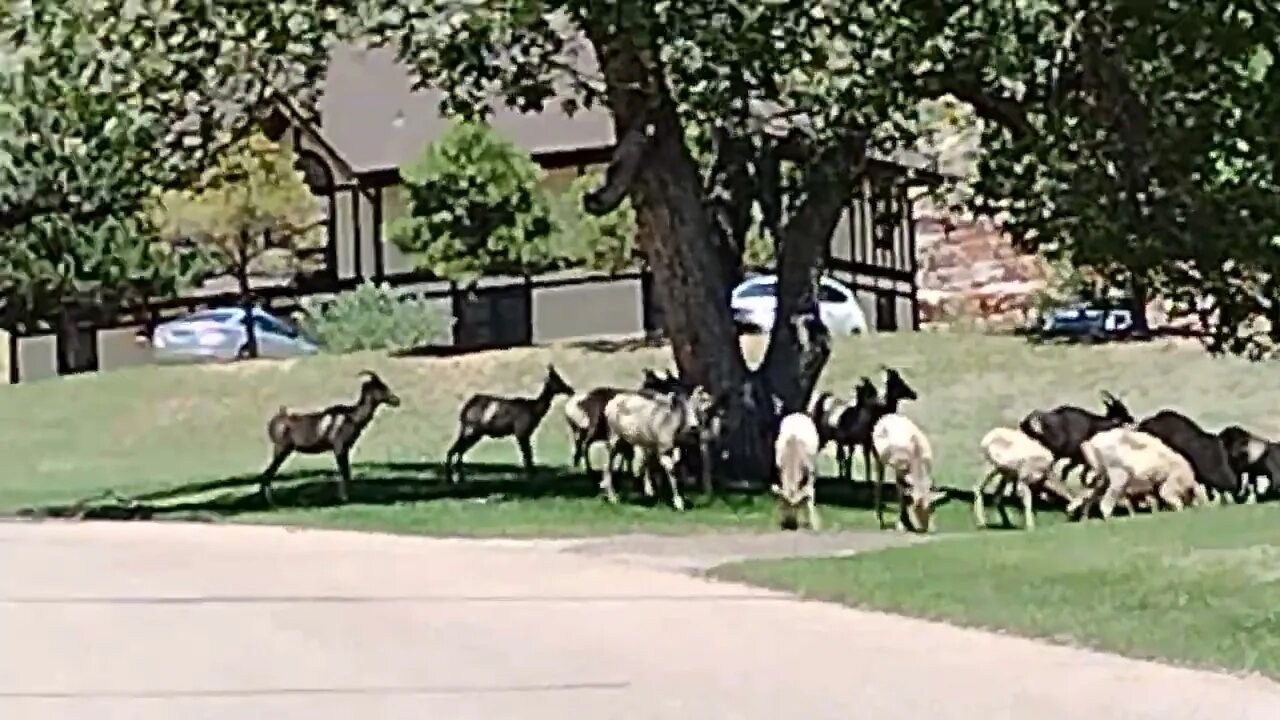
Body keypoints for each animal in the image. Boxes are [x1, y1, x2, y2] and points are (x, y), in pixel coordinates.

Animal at [258, 368, 399, 504]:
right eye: (380, 387)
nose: (396, 400)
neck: (353, 417)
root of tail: (273, 423)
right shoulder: (339, 447)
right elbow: (344, 472)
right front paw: (344, 498)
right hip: (281, 448)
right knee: (267, 474)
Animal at [445, 363, 576, 481]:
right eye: (557, 379)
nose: (571, 390)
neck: (534, 409)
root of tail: (465, 409)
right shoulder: (521, 432)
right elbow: (527, 455)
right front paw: (530, 476)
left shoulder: (524, 434)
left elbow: (528, 456)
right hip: (473, 430)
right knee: (456, 450)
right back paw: (451, 477)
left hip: (473, 432)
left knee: (458, 450)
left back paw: (458, 476)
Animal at [1070, 422, 1208, 517]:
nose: (1204, 509)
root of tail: (1090, 443)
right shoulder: (1170, 481)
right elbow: (1168, 496)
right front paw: (1179, 510)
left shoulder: (1149, 483)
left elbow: (1153, 500)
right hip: (1117, 475)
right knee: (1105, 501)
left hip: (1103, 476)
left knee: (1091, 494)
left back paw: (1079, 513)